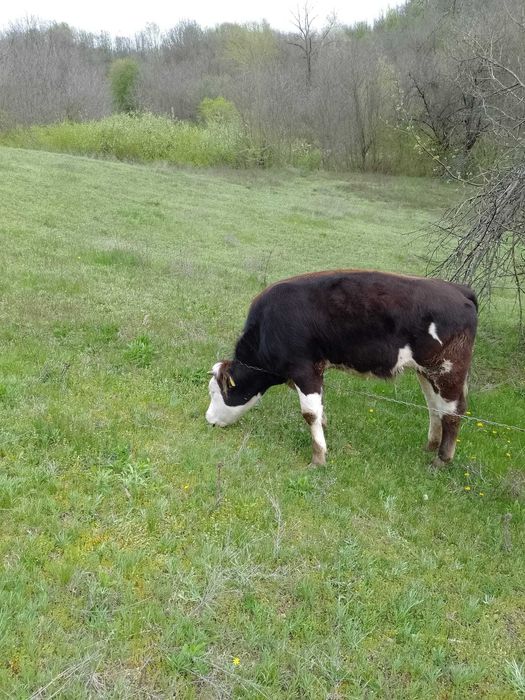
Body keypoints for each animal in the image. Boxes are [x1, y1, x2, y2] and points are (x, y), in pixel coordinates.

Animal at [206, 270, 477, 467]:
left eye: (216, 393)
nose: (208, 420)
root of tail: (459, 290)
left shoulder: (304, 370)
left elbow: (309, 413)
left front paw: (318, 458)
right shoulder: (312, 371)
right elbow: (319, 408)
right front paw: (324, 429)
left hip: (448, 369)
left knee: (453, 412)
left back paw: (441, 460)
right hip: (427, 371)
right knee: (435, 407)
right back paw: (430, 446)